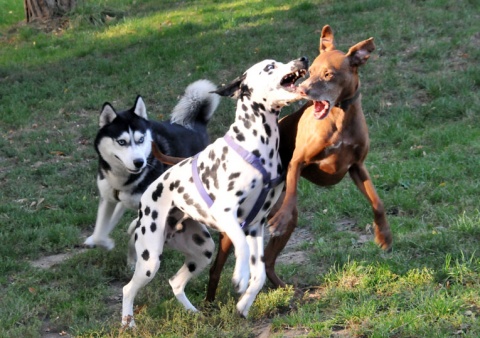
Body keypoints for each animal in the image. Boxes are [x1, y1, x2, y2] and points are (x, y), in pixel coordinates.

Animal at [85, 80, 220, 251]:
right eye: (121, 142)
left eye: (141, 139)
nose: (139, 162)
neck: (123, 179)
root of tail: (197, 122)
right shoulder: (108, 198)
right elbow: (99, 233)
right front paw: (102, 241)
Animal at [120, 56, 308, 326]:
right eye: (270, 67)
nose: (302, 59)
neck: (257, 145)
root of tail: (145, 202)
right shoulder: (227, 215)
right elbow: (241, 248)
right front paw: (240, 277)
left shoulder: (256, 226)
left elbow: (260, 275)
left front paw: (243, 305)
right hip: (150, 259)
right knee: (128, 288)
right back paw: (128, 323)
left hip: (203, 251)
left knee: (175, 283)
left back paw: (193, 313)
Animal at [204, 25, 392, 302]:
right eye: (311, 71)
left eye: (328, 74)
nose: (304, 90)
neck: (339, 118)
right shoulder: (298, 162)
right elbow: (292, 190)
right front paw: (281, 217)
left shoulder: (357, 167)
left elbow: (378, 204)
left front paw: (384, 236)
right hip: (234, 231)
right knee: (217, 267)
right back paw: (210, 302)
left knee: (269, 261)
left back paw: (283, 287)